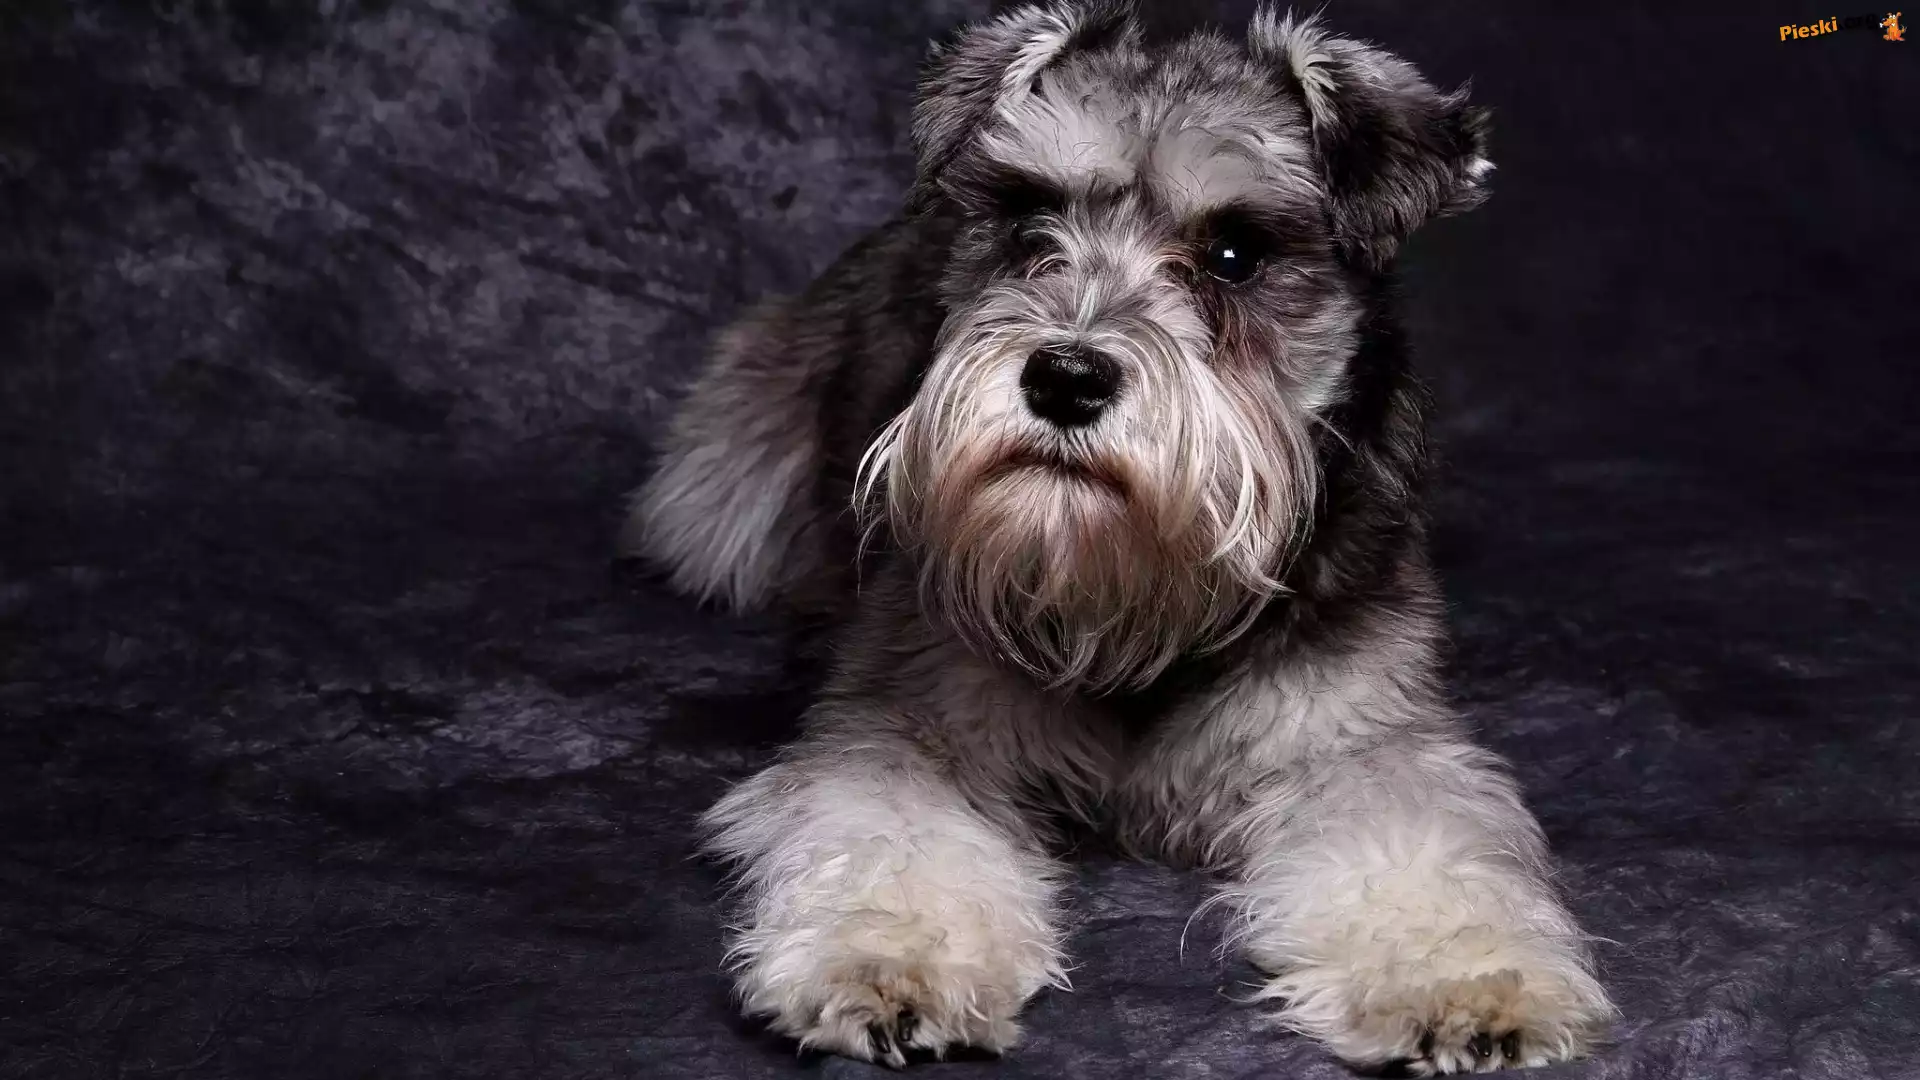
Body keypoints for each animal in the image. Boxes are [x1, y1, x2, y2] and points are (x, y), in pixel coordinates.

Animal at [626, 2, 1617, 1073]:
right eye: (1028, 222)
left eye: (1235, 254)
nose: (1065, 376)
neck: (1133, 604)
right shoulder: (909, 724)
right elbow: (890, 835)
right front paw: (886, 960)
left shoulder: (1359, 743)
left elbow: (1417, 851)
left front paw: (1464, 983)